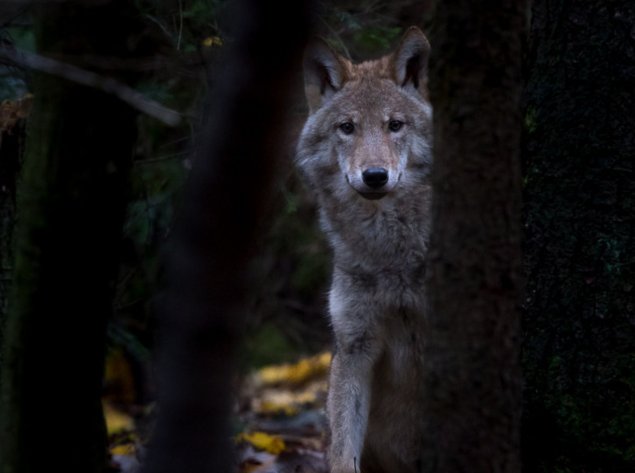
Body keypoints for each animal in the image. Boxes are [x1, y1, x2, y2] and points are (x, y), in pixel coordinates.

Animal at [296, 27, 434, 472]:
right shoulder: (355, 347)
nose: (374, 176)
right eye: (347, 127)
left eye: (394, 125)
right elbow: (342, 449)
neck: (391, 254)